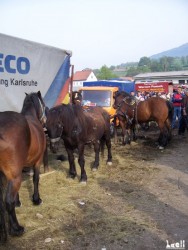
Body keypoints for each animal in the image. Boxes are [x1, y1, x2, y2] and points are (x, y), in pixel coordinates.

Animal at [0, 91, 46, 242]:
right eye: (44, 105)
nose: (45, 121)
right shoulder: (37, 162)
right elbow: (36, 179)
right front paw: (36, 199)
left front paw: (18, 201)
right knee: (7, 202)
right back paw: (16, 229)